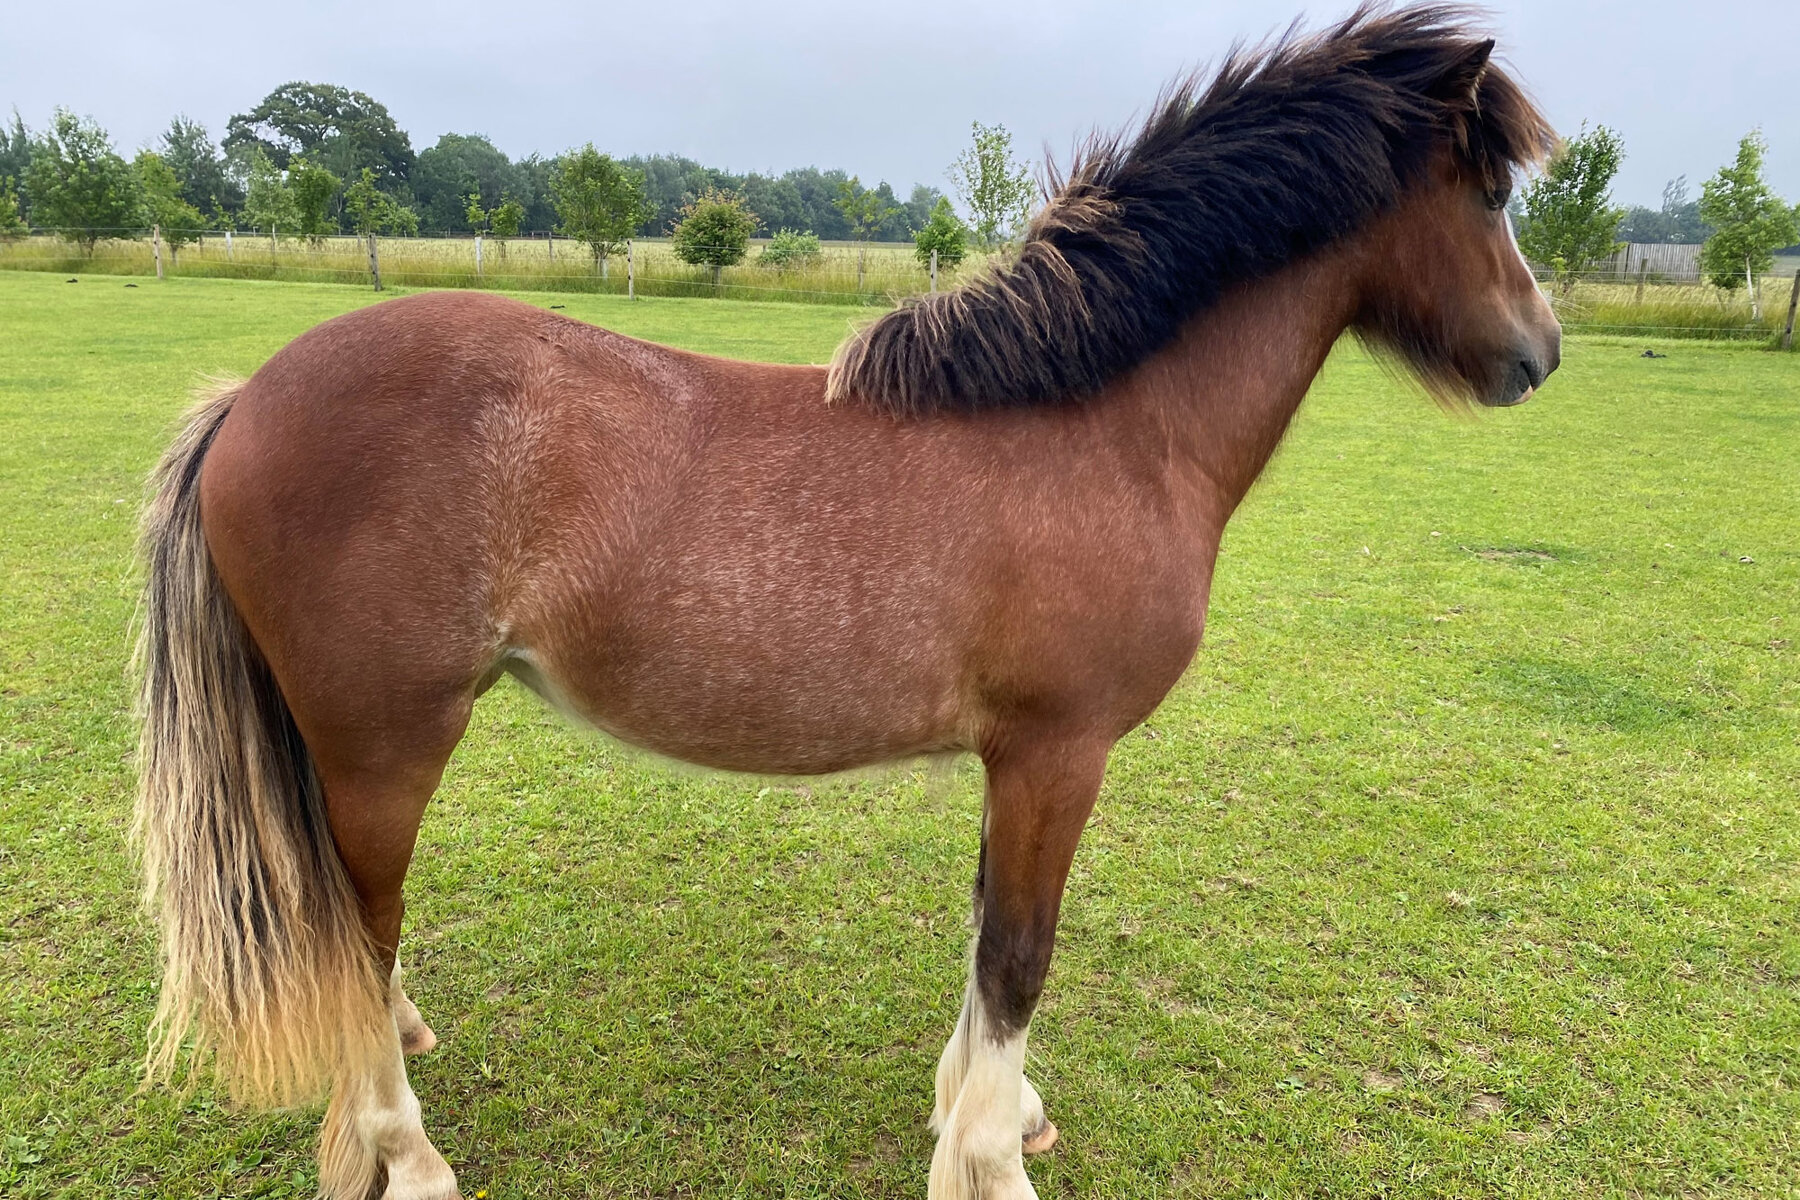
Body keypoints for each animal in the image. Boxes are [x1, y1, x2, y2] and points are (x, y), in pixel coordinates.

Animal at [133, 6, 1558, 1198]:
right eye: (1490, 191)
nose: (1538, 354)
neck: (1105, 428)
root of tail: (247, 403)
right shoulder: (1059, 755)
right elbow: (1019, 954)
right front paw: (990, 1160)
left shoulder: (1014, 761)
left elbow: (987, 937)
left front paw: (989, 1113)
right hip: (385, 745)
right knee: (354, 939)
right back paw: (409, 1157)